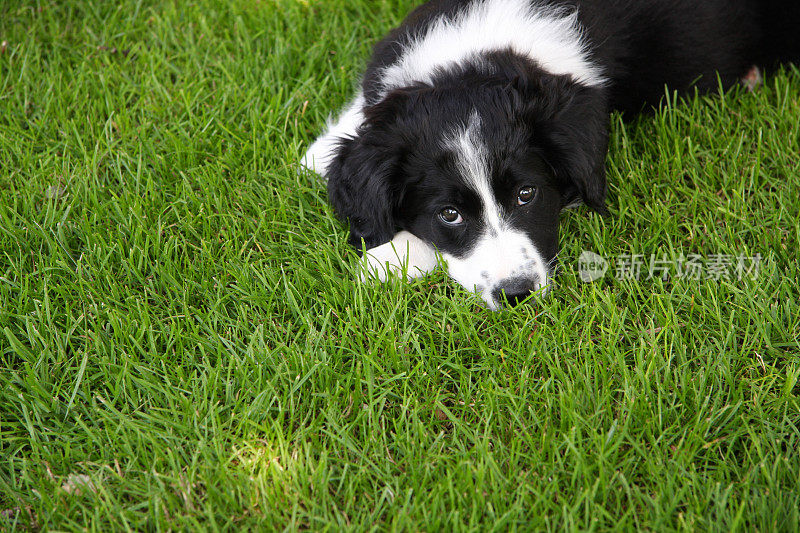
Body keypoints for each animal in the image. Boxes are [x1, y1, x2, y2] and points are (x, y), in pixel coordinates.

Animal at [302, 0, 800, 308]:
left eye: (527, 194)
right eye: (449, 214)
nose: (517, 294)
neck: (476, 55)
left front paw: (391, 258)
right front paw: (322, 154)